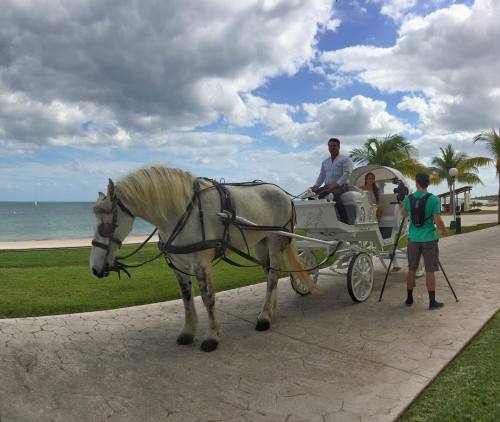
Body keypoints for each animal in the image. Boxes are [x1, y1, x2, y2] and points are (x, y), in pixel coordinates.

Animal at [89, 166, 316, 352]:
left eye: (107, 224)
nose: (94, 268)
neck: (183, 213)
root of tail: (284, 194)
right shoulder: (178, 266)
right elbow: (186, 298)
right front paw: (188, 332)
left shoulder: (201, 264)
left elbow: (208, 298)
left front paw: (212, 336)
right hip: (261, 244)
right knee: (270, 276)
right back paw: (270, 311)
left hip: (276, 242)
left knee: (273, 277)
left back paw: (264, 317)